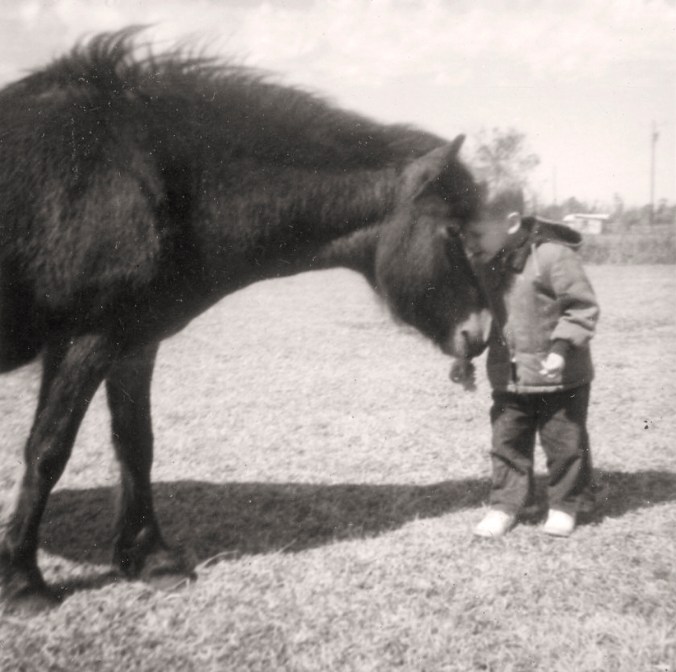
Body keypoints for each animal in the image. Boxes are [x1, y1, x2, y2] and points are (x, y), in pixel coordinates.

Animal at [0, 29, 490, 613]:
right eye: (453, 231)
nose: (481, 331)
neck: (151, 177)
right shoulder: (84, 340)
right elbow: (47, 451)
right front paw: (23, 581)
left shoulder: (132, 342)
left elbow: (136, 445)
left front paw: (152, 559)